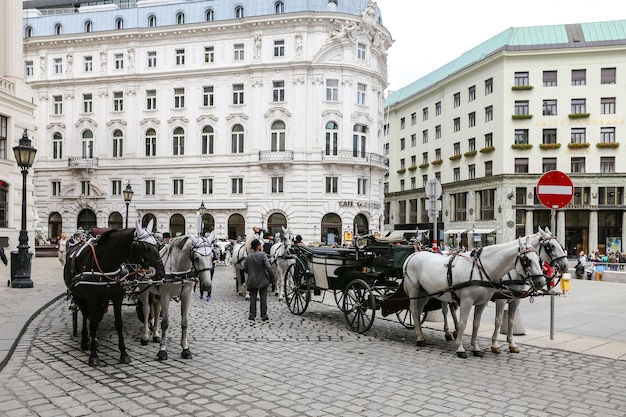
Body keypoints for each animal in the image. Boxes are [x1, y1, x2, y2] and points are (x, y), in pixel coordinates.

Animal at [64, 219, 163, 366]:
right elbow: (92, 324)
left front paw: (124, 354)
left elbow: (118, 323)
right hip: (78, 296)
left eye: (157, 244)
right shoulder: (92, 298)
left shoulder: (117, 296)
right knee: (85, 315)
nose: (162, 273)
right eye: (145, 247)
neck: (105, 264)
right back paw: (85, 339)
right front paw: (93, 356)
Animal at [138, 229, 214, 360]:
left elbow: (184, 322)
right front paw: (162, 350)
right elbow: (164, 323)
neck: (179, 268)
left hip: (156, 293)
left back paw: (156, 334)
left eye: (212, 257)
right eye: (196, 258)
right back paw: (145, 336)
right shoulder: (166, 295)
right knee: (146, 310)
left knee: (157, 310)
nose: (207, 285)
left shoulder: (187, 295)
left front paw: (185, 349)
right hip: (144, 288)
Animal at [404, 236, 540, 356]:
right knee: (414, 310)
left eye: (539, 260)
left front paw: (475, 348)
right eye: (527, 260)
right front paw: (460, 348)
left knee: (420, 311)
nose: (541, 281)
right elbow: (464, 323)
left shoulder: (483, 302)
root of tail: (412, 255)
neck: (481, 270)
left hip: (424, 293)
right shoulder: (467, 301)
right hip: (414, 290)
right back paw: (420, 338)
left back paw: (421, 333)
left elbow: (476, 324)